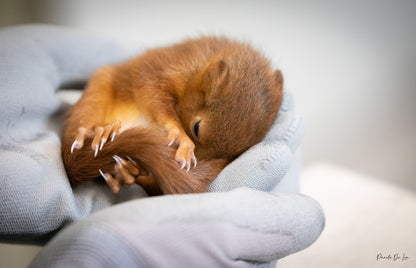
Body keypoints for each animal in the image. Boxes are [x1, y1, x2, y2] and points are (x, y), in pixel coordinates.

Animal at [61, 36, 282, 195]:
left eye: (235, 156)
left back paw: (126, 173)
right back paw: (97, 132)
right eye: (196, 128)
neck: (204, 61)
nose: (191, 168)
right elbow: (152, 95)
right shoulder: (164, 67)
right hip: (96, 93)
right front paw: (181, 137)